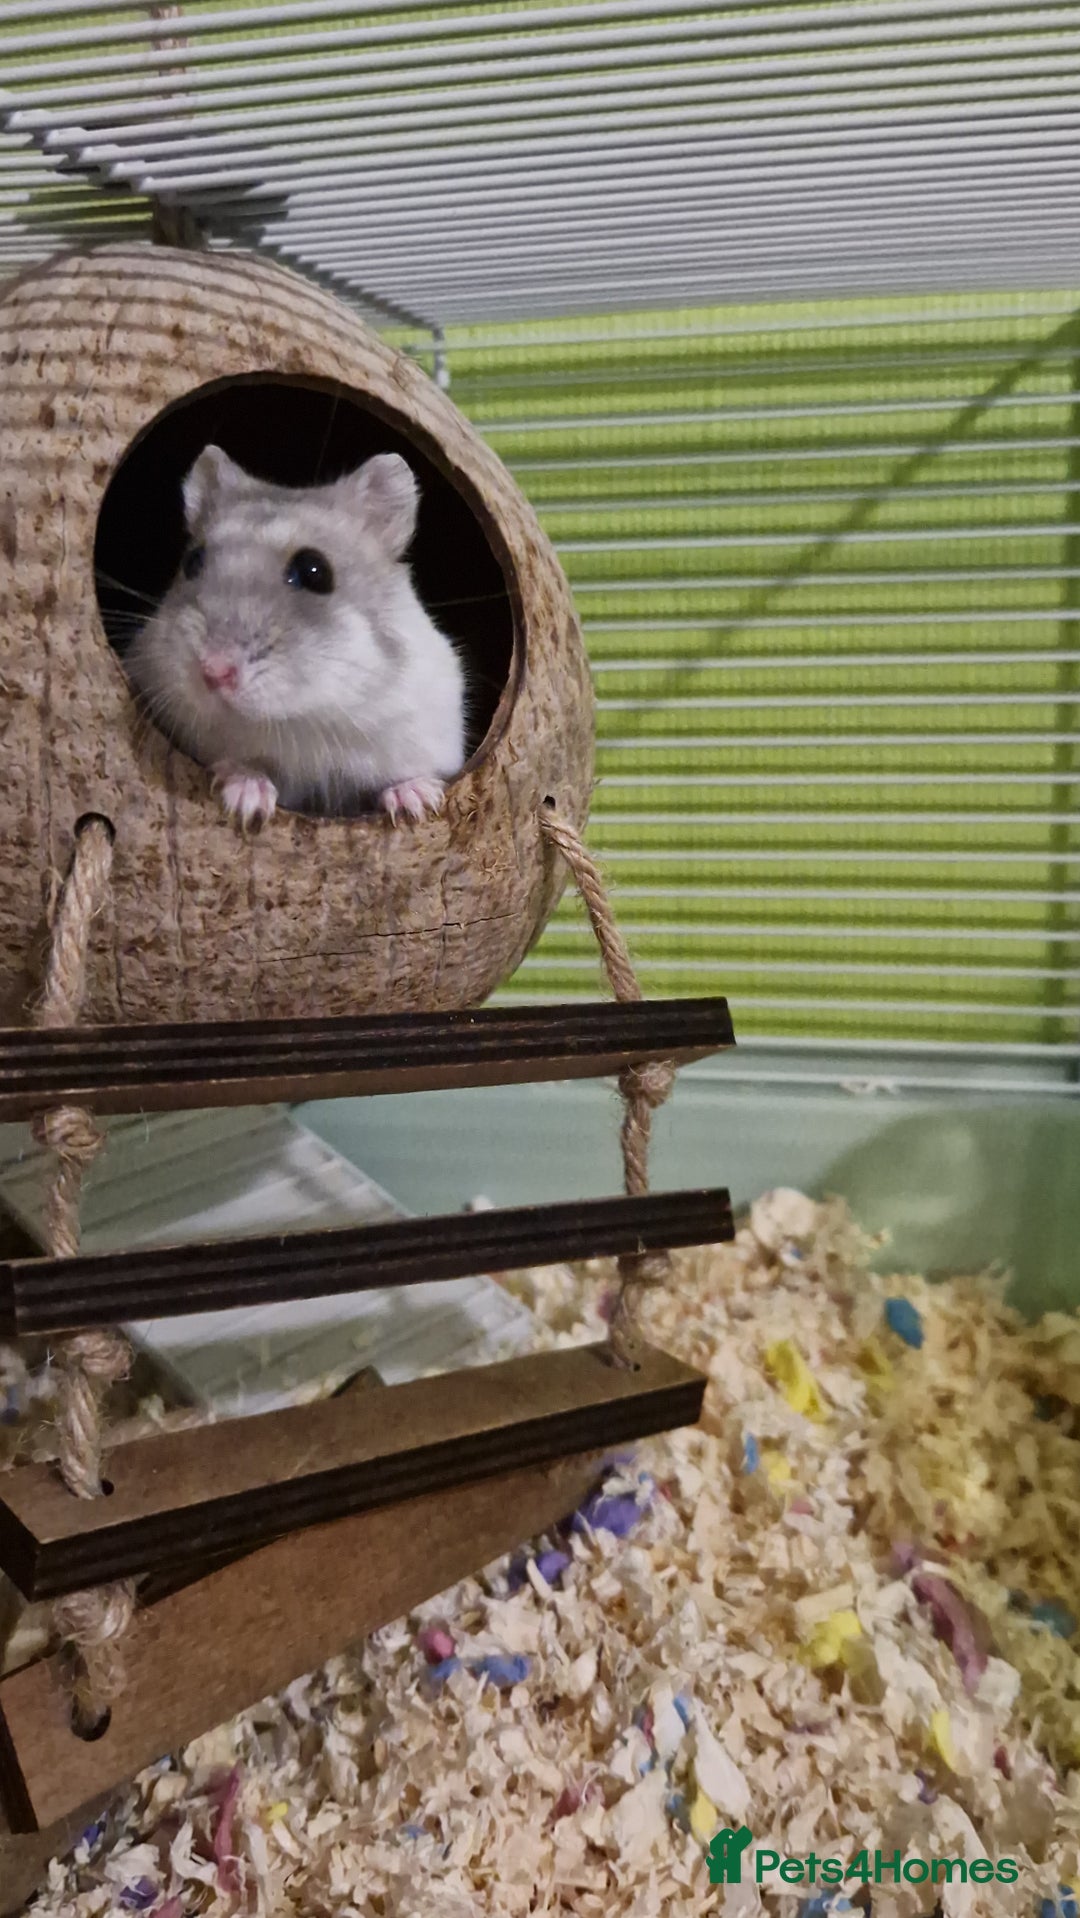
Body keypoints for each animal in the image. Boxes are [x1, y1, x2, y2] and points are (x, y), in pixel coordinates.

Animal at [126, 445, 467, 827]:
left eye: (314, 571)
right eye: (192, 561)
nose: (213, 673)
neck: (302, 719)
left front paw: (418, 802)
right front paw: (246, 799)